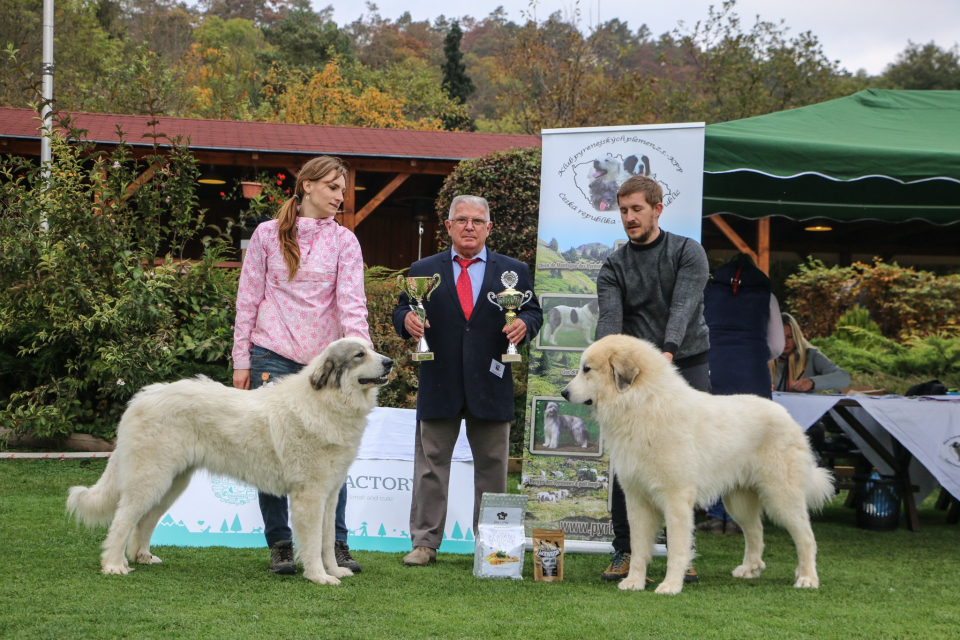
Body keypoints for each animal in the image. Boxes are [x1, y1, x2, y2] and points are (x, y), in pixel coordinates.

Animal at [67, 338, 392, 585]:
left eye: (372, 349)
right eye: (359, 355)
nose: (389, 362)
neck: (325, 402)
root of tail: (141, 397)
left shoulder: (330, 494)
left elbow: (327, 538)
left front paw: (335, 570)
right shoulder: (310, 496)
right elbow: (313, 542)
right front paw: (319, 577)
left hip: (171, 484)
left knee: (144, 521)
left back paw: (142, 556)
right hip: (150, 479)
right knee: (122, 520)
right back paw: (113, 564)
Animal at [562, 335, 833, 594]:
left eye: (587, 369)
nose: (564, 393)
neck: (642, 404)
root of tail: (786, 415)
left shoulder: (676, 498)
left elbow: (676, 548)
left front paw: (671, 586)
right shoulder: (637, 499)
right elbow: (638, 547)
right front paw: (634, 582)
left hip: (781, 496)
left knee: (806, 537)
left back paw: (807, 578)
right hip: (739, 501)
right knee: (756, 531)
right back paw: (750, 569)